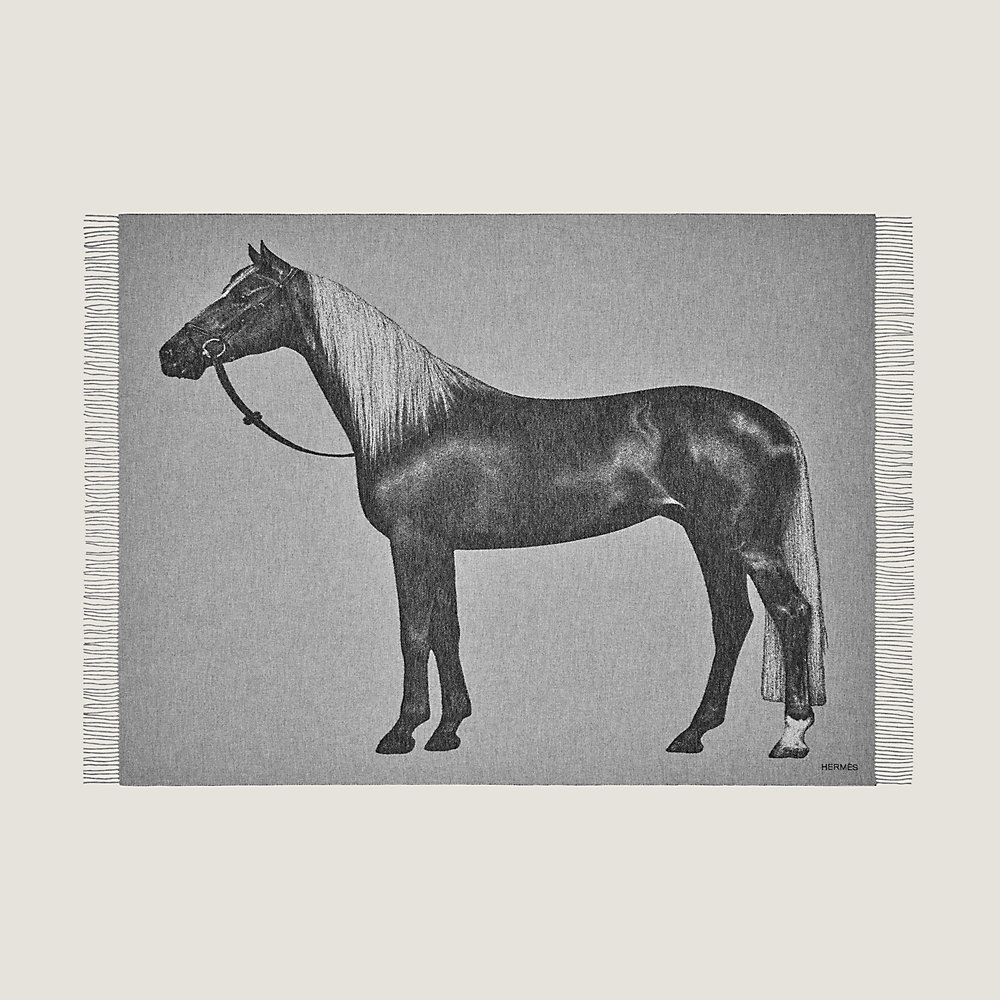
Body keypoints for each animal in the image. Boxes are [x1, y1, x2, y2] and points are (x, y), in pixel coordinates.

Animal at [159, 241, 828, 759]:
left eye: (245, 295)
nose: (173, 353)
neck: (412, 423)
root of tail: (772, 423)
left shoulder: (411, 543)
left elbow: (413, 632)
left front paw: (402, 733)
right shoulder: (439, 546)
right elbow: (446, 630)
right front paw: (448, 729)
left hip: (745, 541)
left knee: (790, 612)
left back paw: (791, 736)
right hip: (708, 538)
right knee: (732, 621)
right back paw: (692, 734)